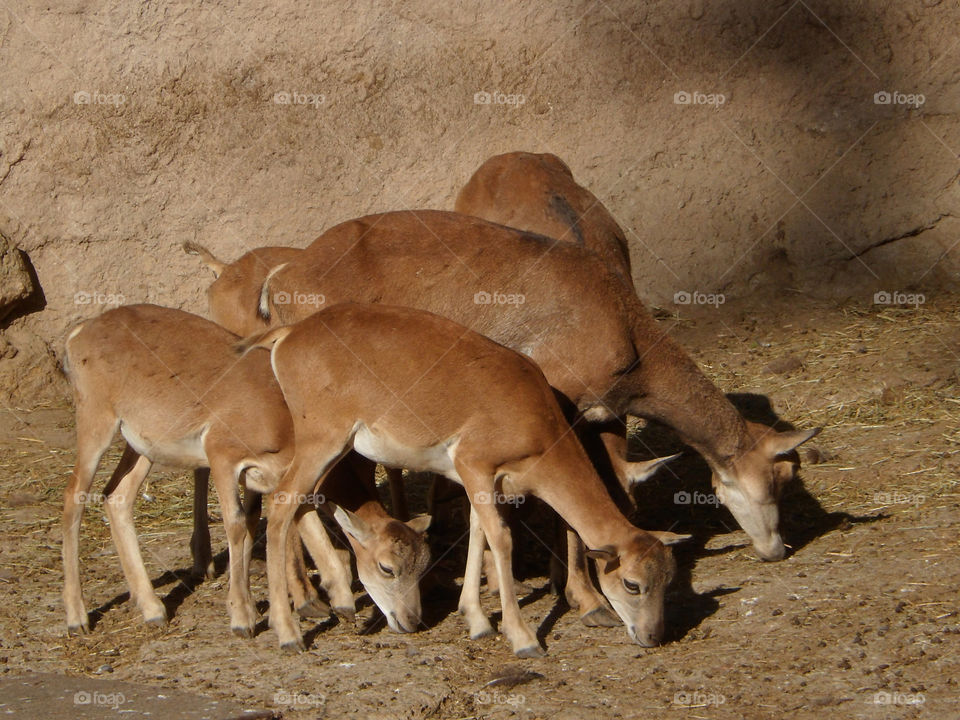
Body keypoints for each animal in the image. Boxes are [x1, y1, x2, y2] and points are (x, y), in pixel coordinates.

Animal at [62, 304, 430, 637]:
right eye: (387, 568)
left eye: (423, 565)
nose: (411, 621)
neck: (283, 416)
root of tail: (80, 333)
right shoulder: (223, 457)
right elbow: (238, 524)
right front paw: (244, 619)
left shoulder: (272, 475)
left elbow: (274, 520)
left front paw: (333, 602)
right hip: (96, 422)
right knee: (74, 496)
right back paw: (77, 618)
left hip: (140, 446)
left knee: (116, 497)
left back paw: (153, 609)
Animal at [238, 302, 689, 656]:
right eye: (632, 584)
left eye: (668, 579)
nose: (653, 635)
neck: (533, 420)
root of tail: (289, 336)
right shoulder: (476, 466)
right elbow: (501, 538)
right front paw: (523, 638)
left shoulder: (480, 484)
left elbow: (478, 530)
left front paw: (477, 620)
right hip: (322, 442)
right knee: (281, 506)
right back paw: (288, 632)